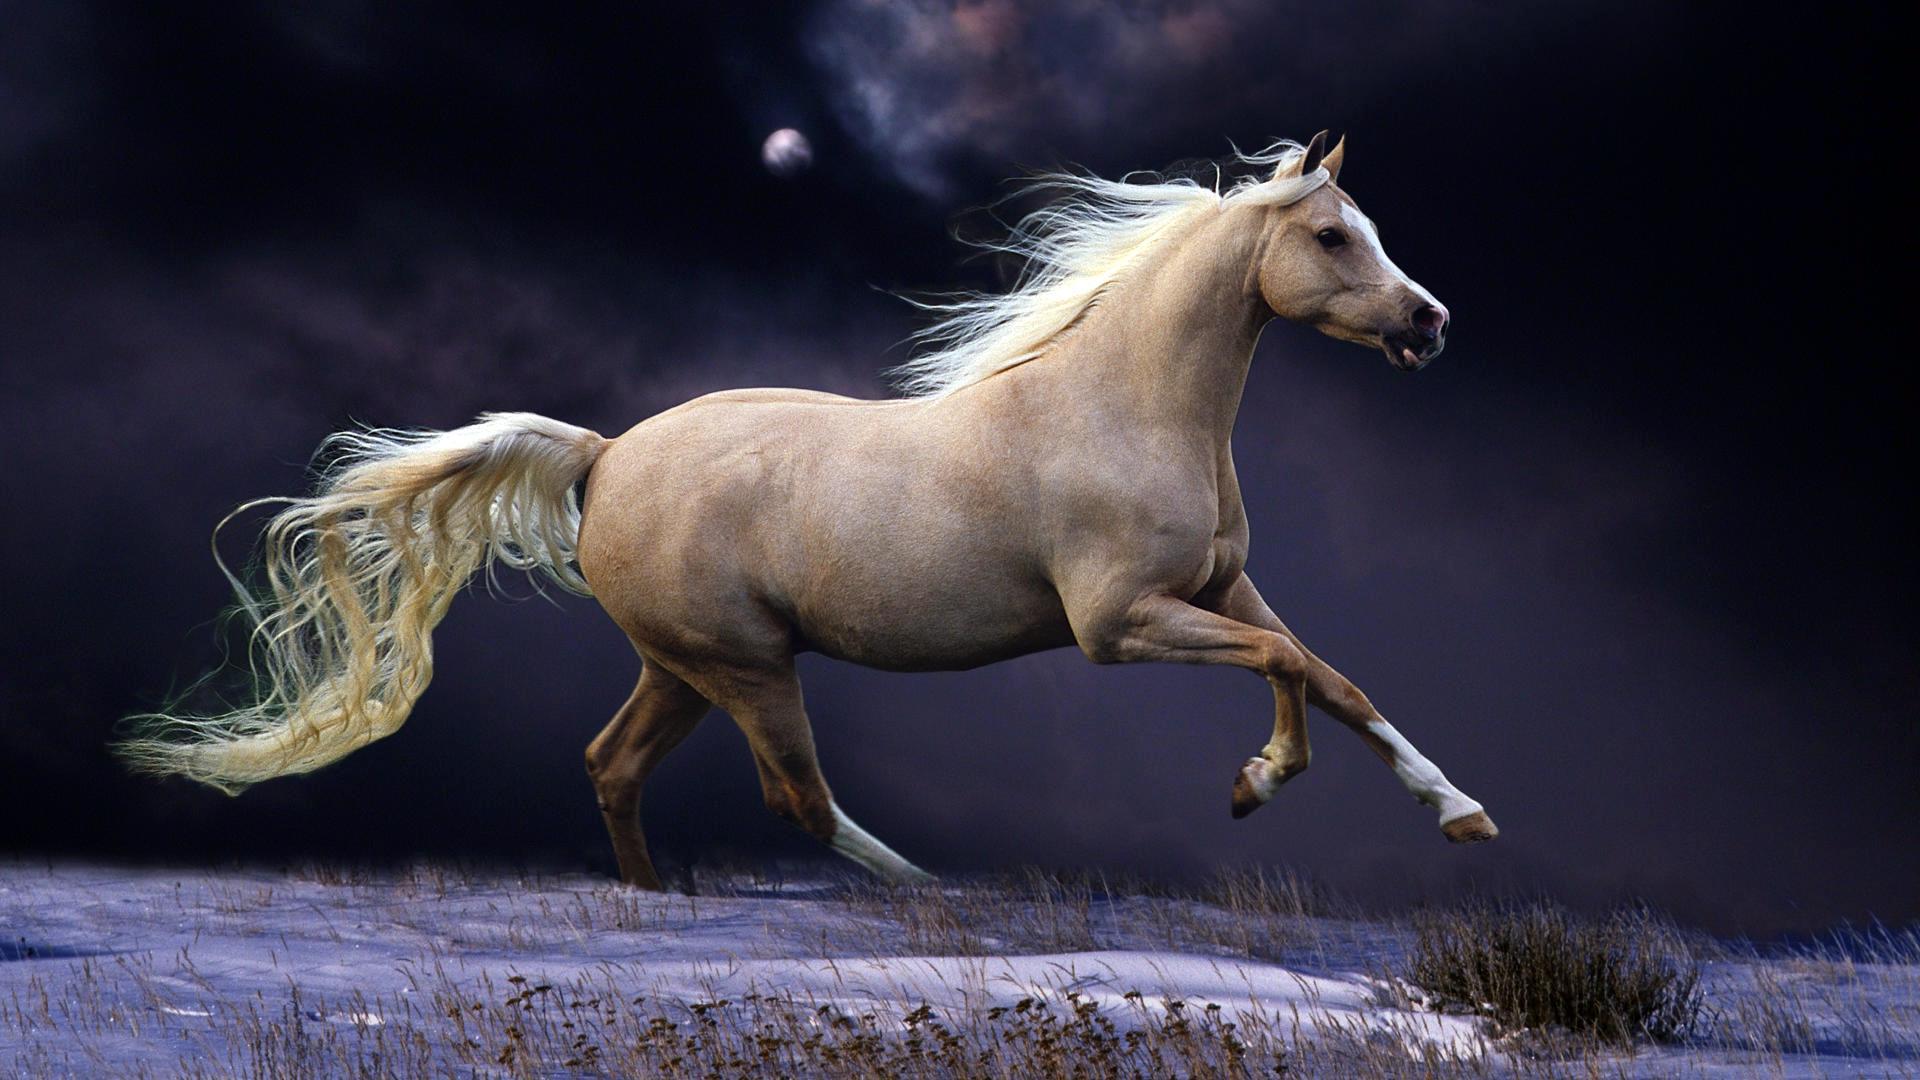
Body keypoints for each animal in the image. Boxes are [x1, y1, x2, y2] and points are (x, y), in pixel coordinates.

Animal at [119, 132, 1497, 889]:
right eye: (1332, 236)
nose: (1431, 324)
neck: (1126, 406)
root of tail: (604, 456)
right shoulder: (1121, 623)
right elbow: (1288, 671)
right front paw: (1257, 784)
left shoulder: (1220, 588)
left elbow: (1334, 675)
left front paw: (1463, 813)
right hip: (745, 665)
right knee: (798, 800)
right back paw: (942, 896)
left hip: (683, 665)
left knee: (613, 765)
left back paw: (658, 902)